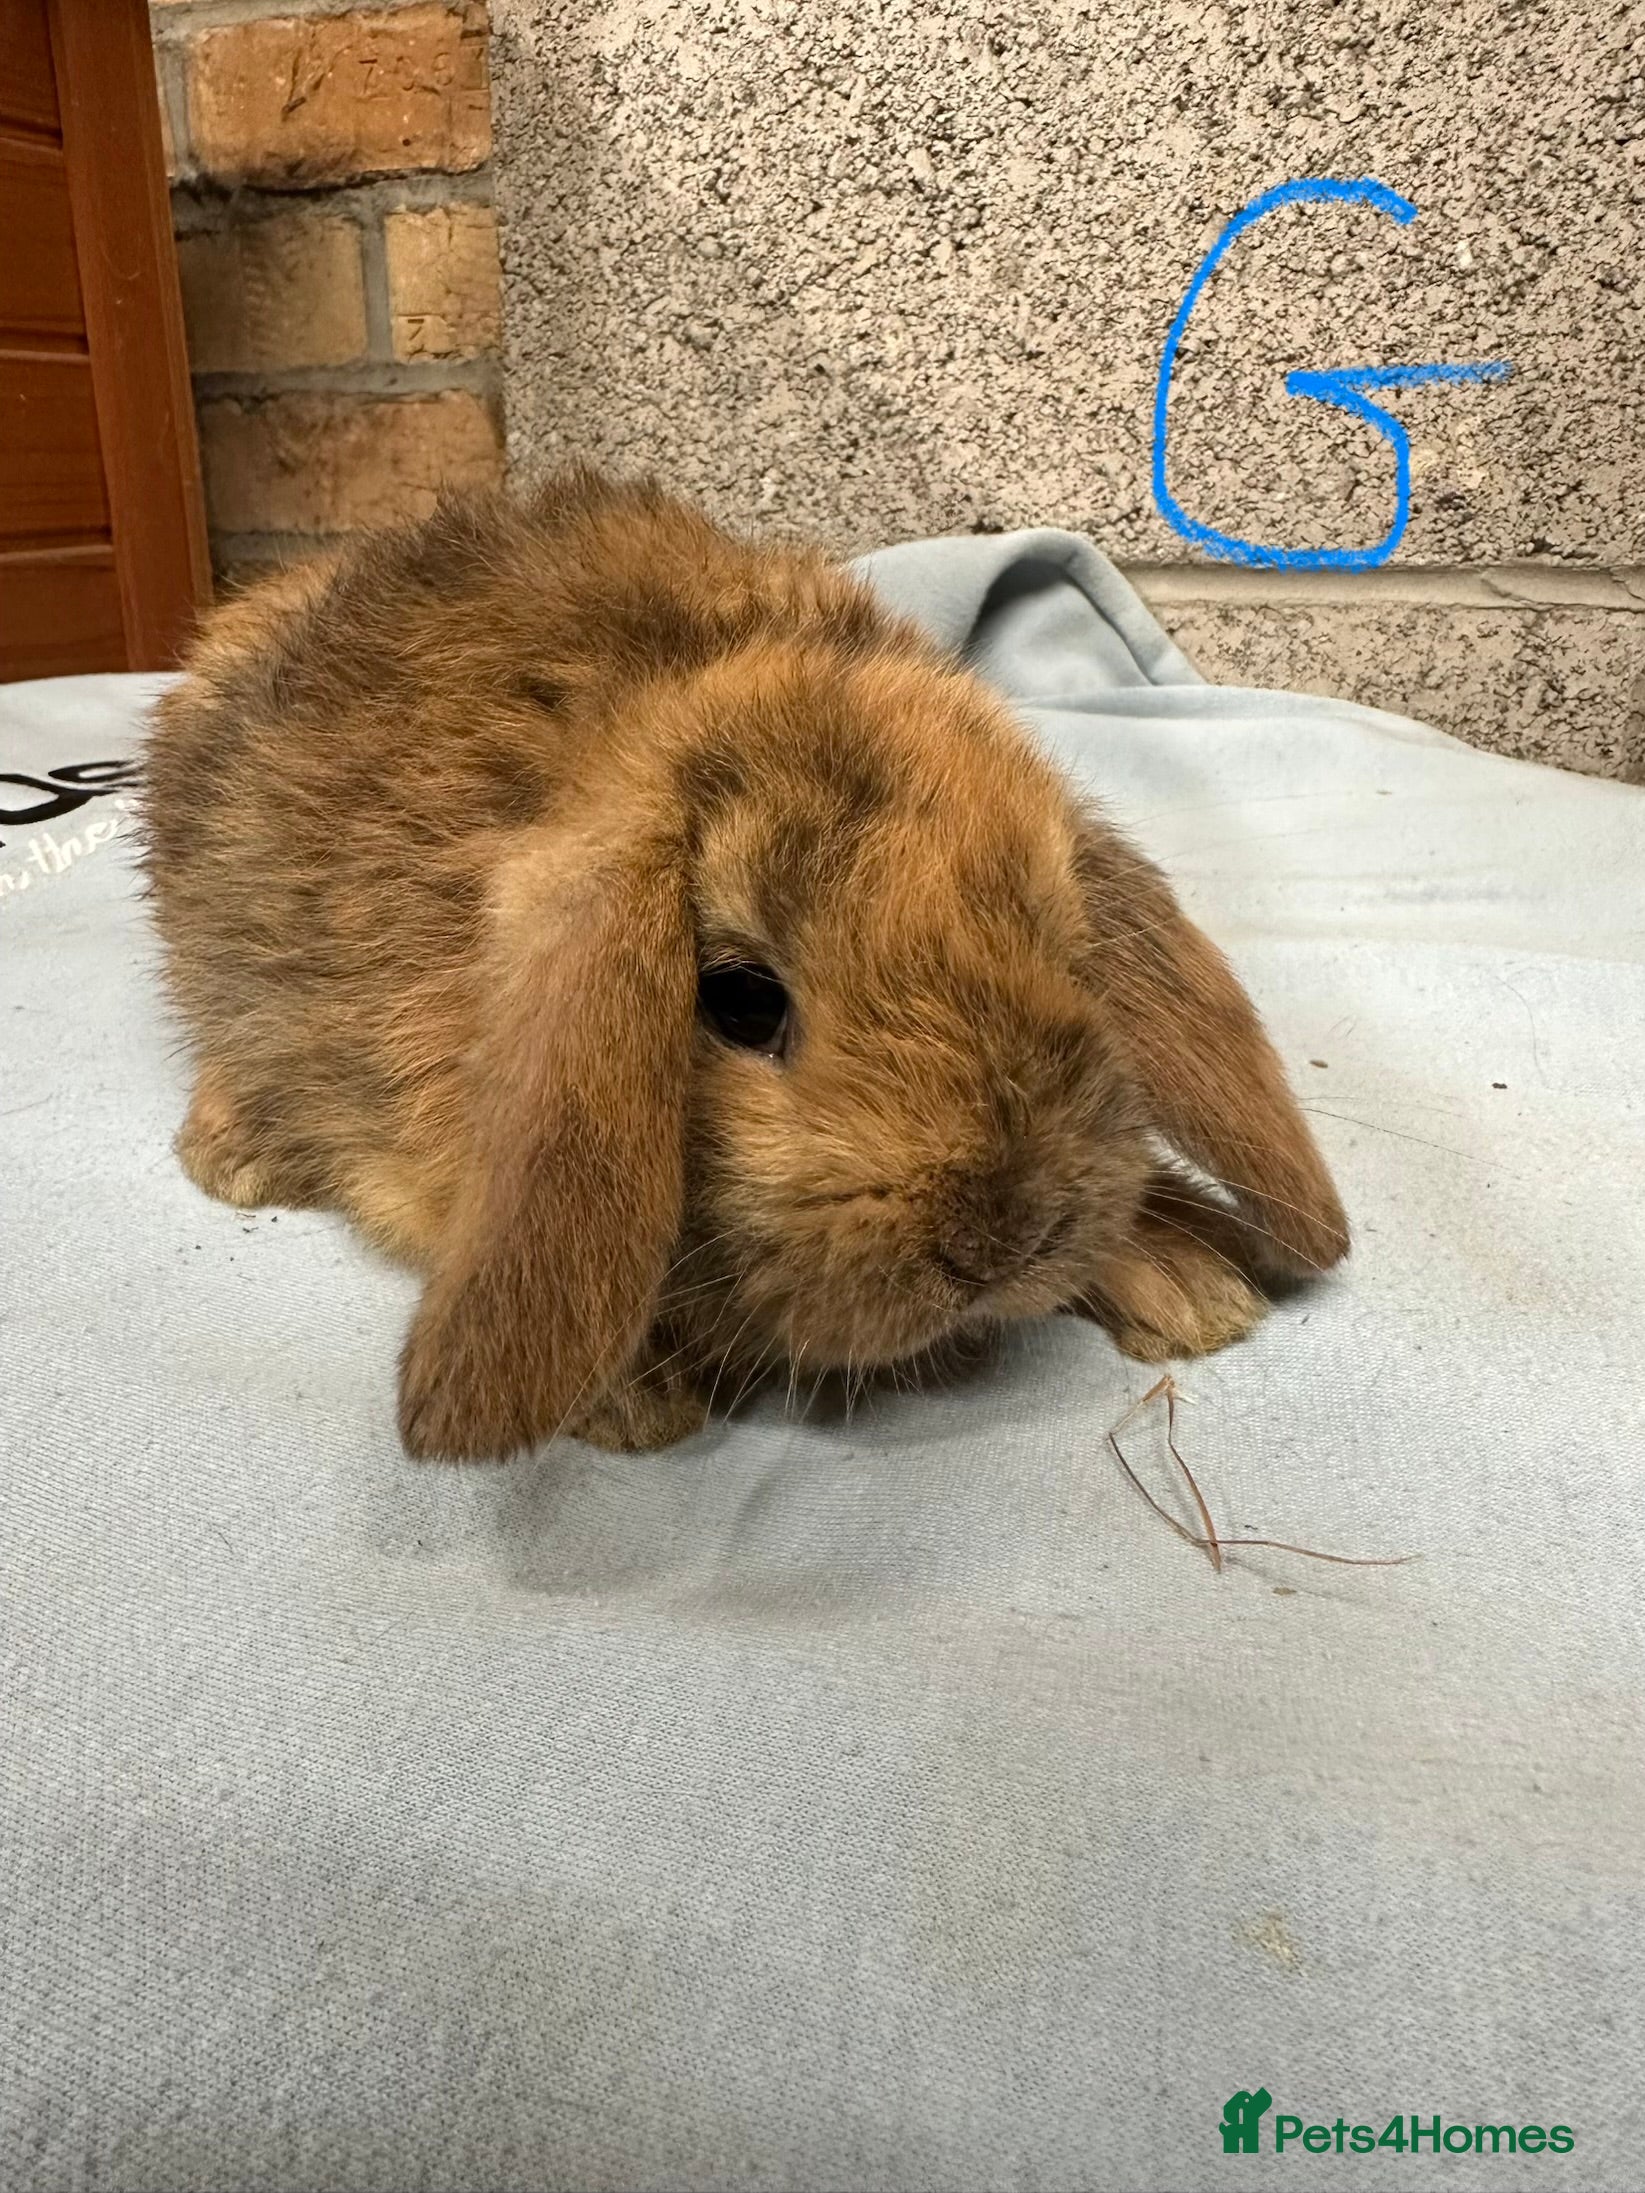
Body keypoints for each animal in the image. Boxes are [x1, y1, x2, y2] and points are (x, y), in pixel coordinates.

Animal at [140, 469, 1348, 1461]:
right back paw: (235, 1155)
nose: (998, 1246)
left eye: (1067, 954)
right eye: (738, 1000)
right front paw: (634, 1398)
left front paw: (1191, 1286)